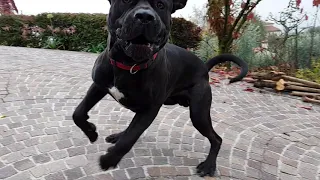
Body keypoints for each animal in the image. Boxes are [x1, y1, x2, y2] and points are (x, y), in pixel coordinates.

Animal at [73, 0, 250, 177]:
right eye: (125, 1)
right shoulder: (98, 85)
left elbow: (130, 138)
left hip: (199, 114)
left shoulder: (150, 109)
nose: (145, 16)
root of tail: (204, 68)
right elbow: (78, 113)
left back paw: (209, 166)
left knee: (216, 139)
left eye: (160, 5)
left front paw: (110, 159)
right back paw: (118, 135)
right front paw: (91, 131)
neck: (129, 65)